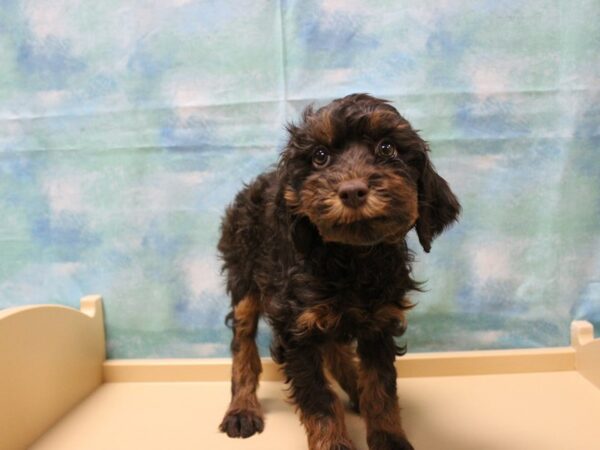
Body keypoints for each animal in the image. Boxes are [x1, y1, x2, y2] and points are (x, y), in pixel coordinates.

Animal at [219, 93, 460, 448]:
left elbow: (380, 387)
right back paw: (242, 408)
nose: (352, 190)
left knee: (333, 347)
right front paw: (333, 442)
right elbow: (319, 400)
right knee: (243, 343)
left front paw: (388, 437)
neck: (352, 258)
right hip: (244, 275)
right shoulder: (297, 328)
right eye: (320, 156)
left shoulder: (379, 320)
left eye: (387, 148)